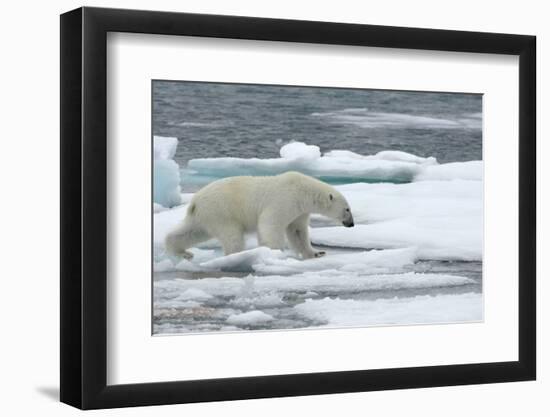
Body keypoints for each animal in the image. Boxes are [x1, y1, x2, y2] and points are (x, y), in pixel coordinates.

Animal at [165, 171, 354, 258]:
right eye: (347, 209)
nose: (351, 224)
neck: (303, 191)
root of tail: (195, 201)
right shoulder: (284, 199)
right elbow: (271, 223)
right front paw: (275, 251)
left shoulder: (299, 211)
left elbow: (297, 231)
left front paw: (316, 252)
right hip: (222, 212)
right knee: (232, 236)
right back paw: (235, 255)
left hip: (205, 215)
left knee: (192, 231)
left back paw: (182, 252)